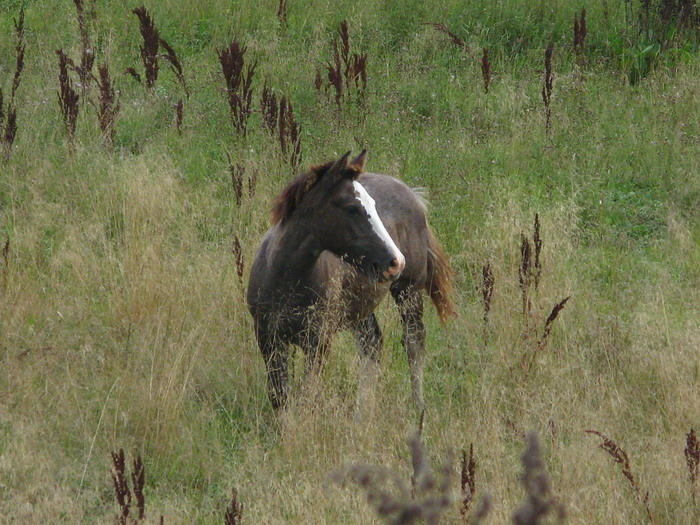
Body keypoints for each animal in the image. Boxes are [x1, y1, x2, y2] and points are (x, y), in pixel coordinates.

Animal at [246, 149, 454, 412]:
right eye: (351, 208)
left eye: (373, 205)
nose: (395, 261)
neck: (285, 280)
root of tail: (412, 195)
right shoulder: (268, 339)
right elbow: (280, 397)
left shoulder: (318, 341)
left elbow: (308, 397)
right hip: (360, 304)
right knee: (371, 345)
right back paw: (362, 414)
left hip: (409, 289)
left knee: (413, 342)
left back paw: (418, 409)